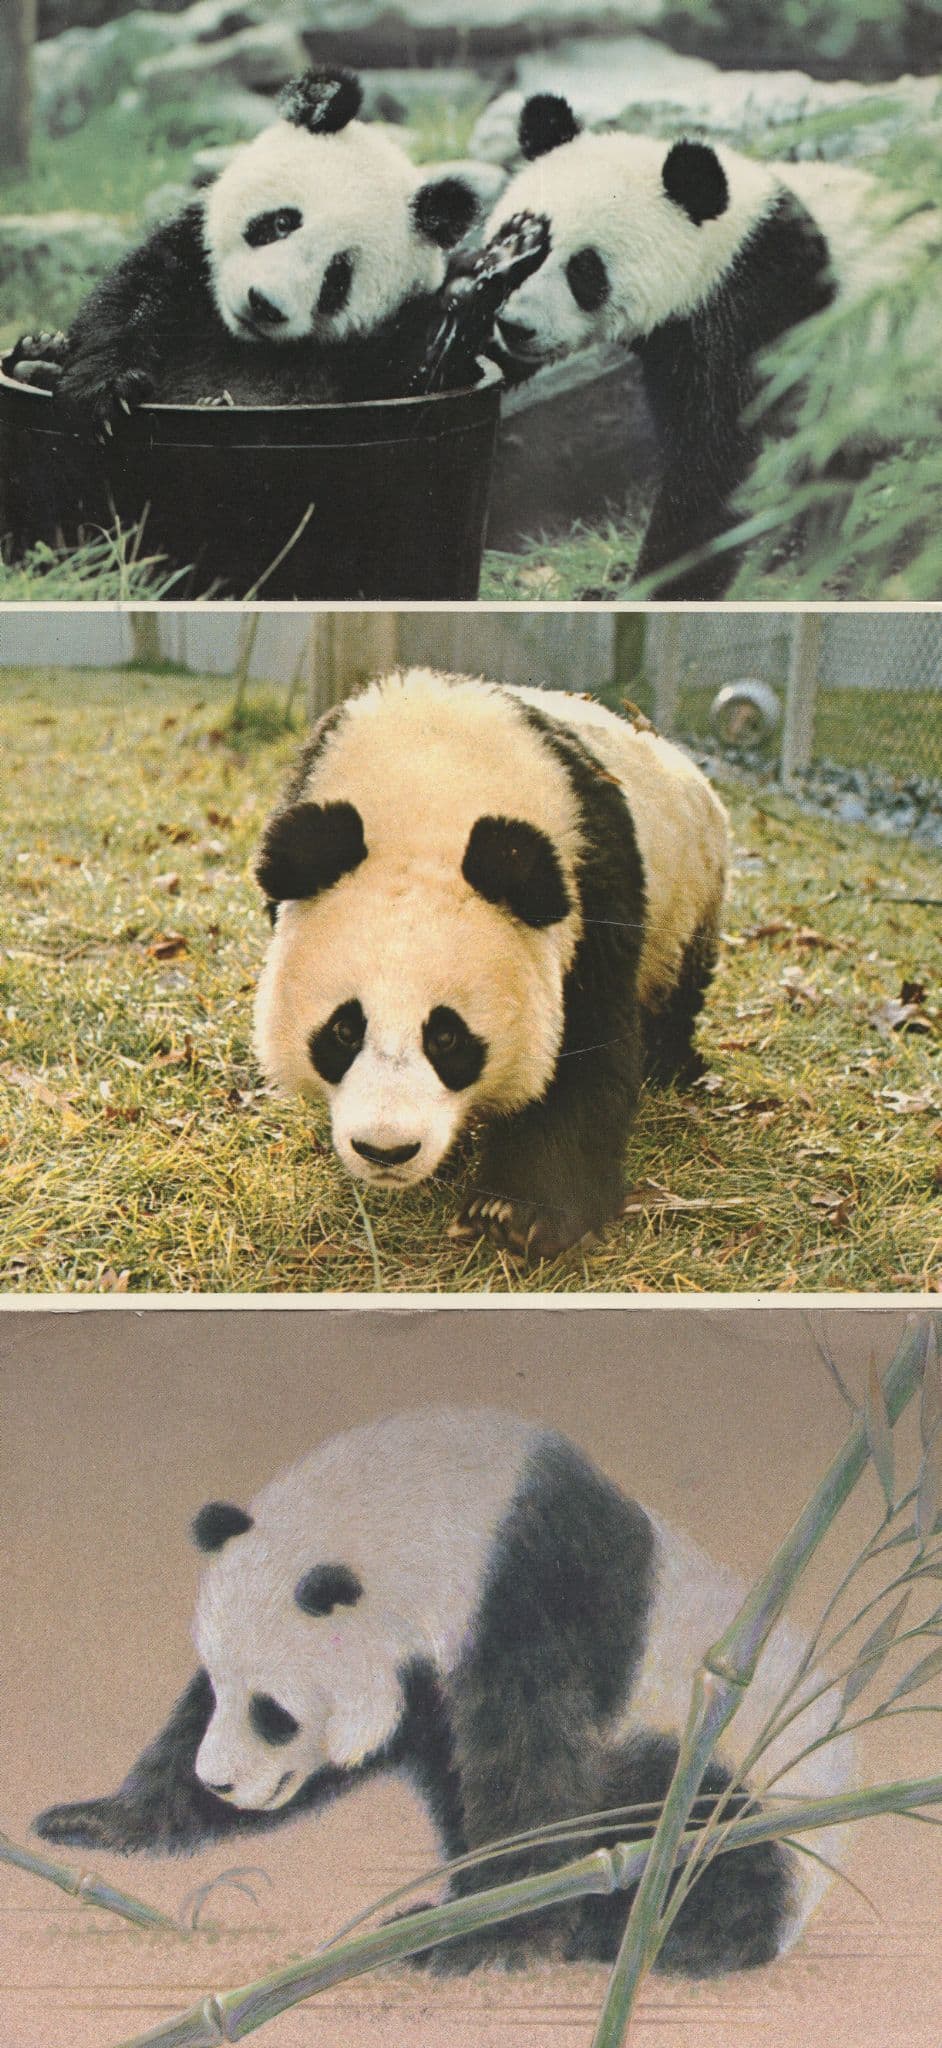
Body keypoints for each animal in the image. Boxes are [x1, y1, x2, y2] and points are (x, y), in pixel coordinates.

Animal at [7, 66, 482, 429]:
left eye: (337, 277)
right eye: (282, 222)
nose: (264, 303)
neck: (245, 343)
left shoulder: (376, 352)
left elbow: (418, 374)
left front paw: (453, 312)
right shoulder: (189, 255)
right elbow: (128, 298)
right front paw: (106, 391)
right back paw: (38, 356)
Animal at [34, 1408, 852, 1978]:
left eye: (274, 1713)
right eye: (215, 1683)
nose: (221, 1782)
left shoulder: (530, 1598)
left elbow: (535, 1777)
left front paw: (480, 1936)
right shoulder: (423, 1677)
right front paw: (97, 1820)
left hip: (741, 1784)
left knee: (712, 1856)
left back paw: (631, 1930)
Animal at [251, 669, 729, 1263]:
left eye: (448, 1038)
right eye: (343, 1030)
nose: (387, 1150)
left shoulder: (591, 881)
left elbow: (584, 1049)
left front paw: (516, 1215)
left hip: (690, 894)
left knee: (677, 989)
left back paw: (671, 1063)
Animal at [486, 94, 839, 599]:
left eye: (585, 269)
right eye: (511, 242)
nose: (516, 326)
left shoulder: (748, 311)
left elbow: (712, 460)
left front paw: (655, 588)